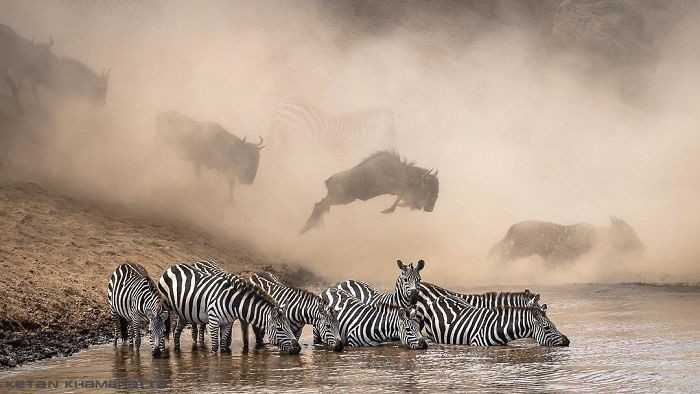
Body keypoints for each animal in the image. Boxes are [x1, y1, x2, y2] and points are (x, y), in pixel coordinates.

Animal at [416, 290, 568, 348]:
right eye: (547, 327)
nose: (568, 341)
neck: (499, 327)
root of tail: (441, 297)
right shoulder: (477, 344)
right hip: (430, 334)